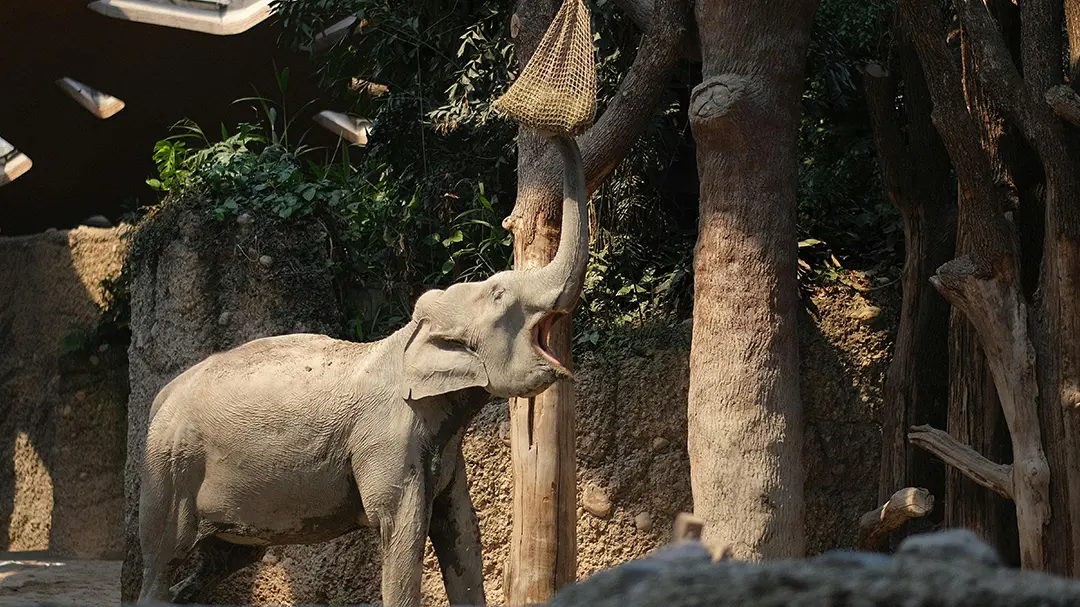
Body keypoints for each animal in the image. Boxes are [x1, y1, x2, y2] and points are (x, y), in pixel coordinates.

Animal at [138, 133, 587, 604]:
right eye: (500, 295)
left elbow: (462, 532)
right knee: (164, 558)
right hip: (169, 467)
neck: (405, 340)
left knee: (225, 558)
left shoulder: (446, 451)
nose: (557, 131)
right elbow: (401, 531)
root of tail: (161, 397)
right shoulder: (387, 440)